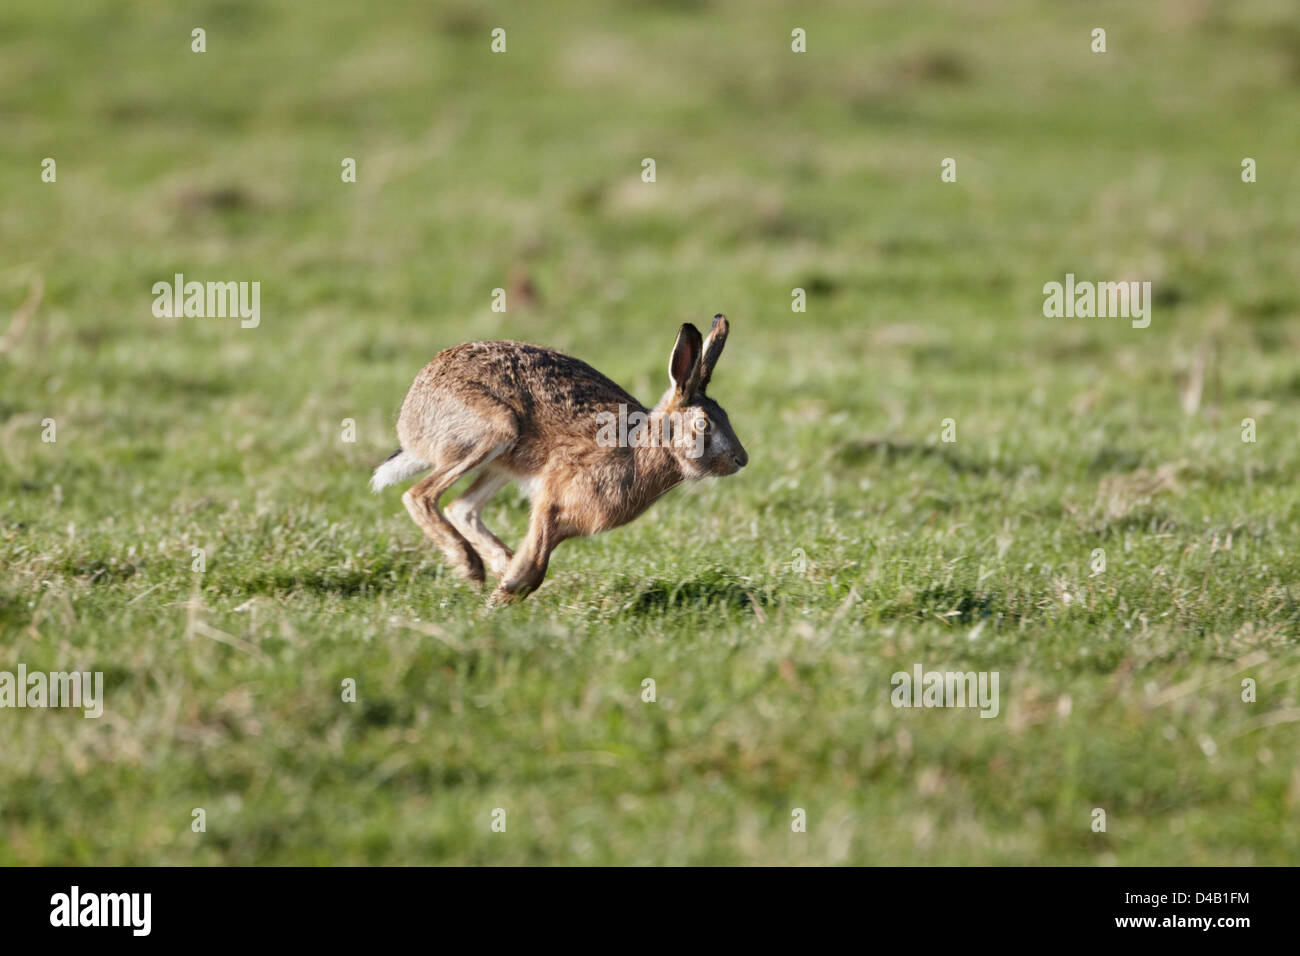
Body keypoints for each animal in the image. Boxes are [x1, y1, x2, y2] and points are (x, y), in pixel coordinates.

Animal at [370, 314, 748, 604]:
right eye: (703, 423)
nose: (741, 459)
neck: (648, 443)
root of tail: (411, 417)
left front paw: (503, 589)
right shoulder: (552, 501)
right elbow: (534, 567)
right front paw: (497, 603)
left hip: (503, 461)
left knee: (460, 507)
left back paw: (494, 564)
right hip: (494, 429)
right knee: (420, 495)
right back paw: (470, 566)